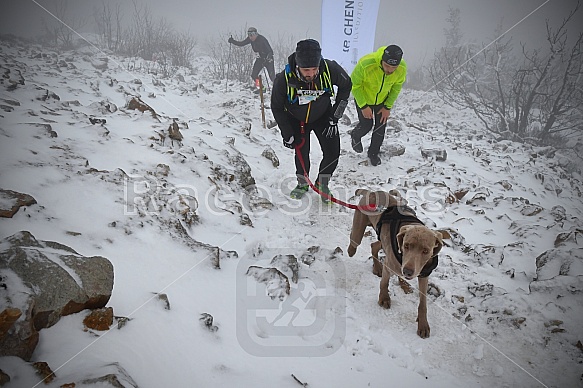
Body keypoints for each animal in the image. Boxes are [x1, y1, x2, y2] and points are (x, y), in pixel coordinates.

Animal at [346, 188, 442, 336]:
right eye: (406, 246)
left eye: (426, 251)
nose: (407, 272)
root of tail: (371, 191)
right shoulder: (390, 264)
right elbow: (384, 283)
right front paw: (384, 298)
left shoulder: (423, 276)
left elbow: (423, 303)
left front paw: (423, 324)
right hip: (359, 230)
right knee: (354, 243)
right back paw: (352, 252)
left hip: (382, 240)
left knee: (374, 245)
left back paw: (380, 269)